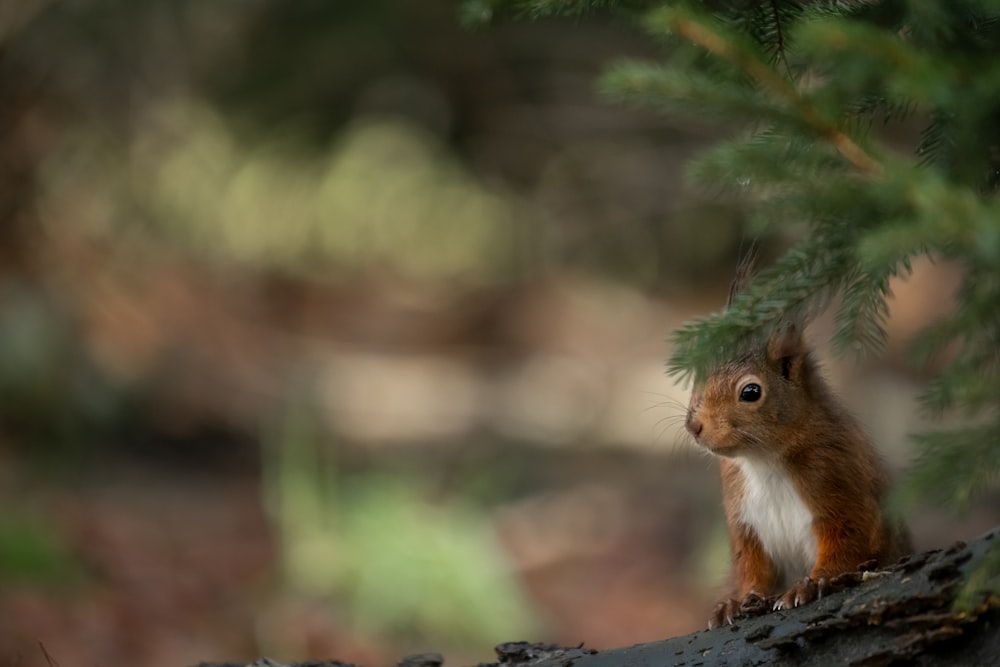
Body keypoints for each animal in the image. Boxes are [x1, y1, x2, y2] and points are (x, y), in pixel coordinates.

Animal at [684, 253, 912, 628]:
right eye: (699, 376)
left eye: (751, 392)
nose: (693, 426)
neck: (763, 460)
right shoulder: (745, 521)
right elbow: (752, 568)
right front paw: (736, 602)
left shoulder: (837, 483)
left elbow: (847, 543)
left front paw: (811, 583)